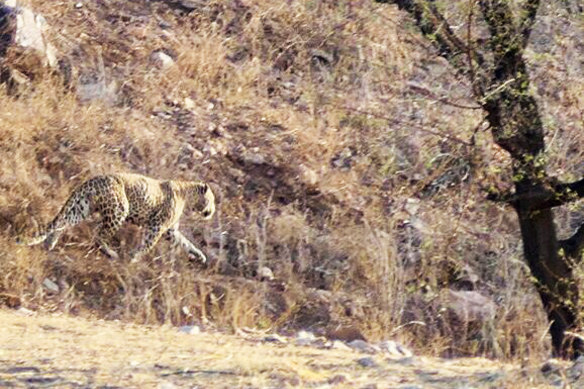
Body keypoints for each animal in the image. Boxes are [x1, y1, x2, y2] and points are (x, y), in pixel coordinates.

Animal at [17, 172, 216, 260]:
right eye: (212, 200)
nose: (212, 211)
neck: (187, 195)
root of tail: (94, 179)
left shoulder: (171, 231)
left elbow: (185, 242)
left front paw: (199, 255)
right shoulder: (157, 225)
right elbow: (148, 243)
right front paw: (135, 257)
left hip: (82, 207)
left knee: (63, 223)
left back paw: (49, 243)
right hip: (119, 209)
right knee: (98, 234)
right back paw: (111, 253)